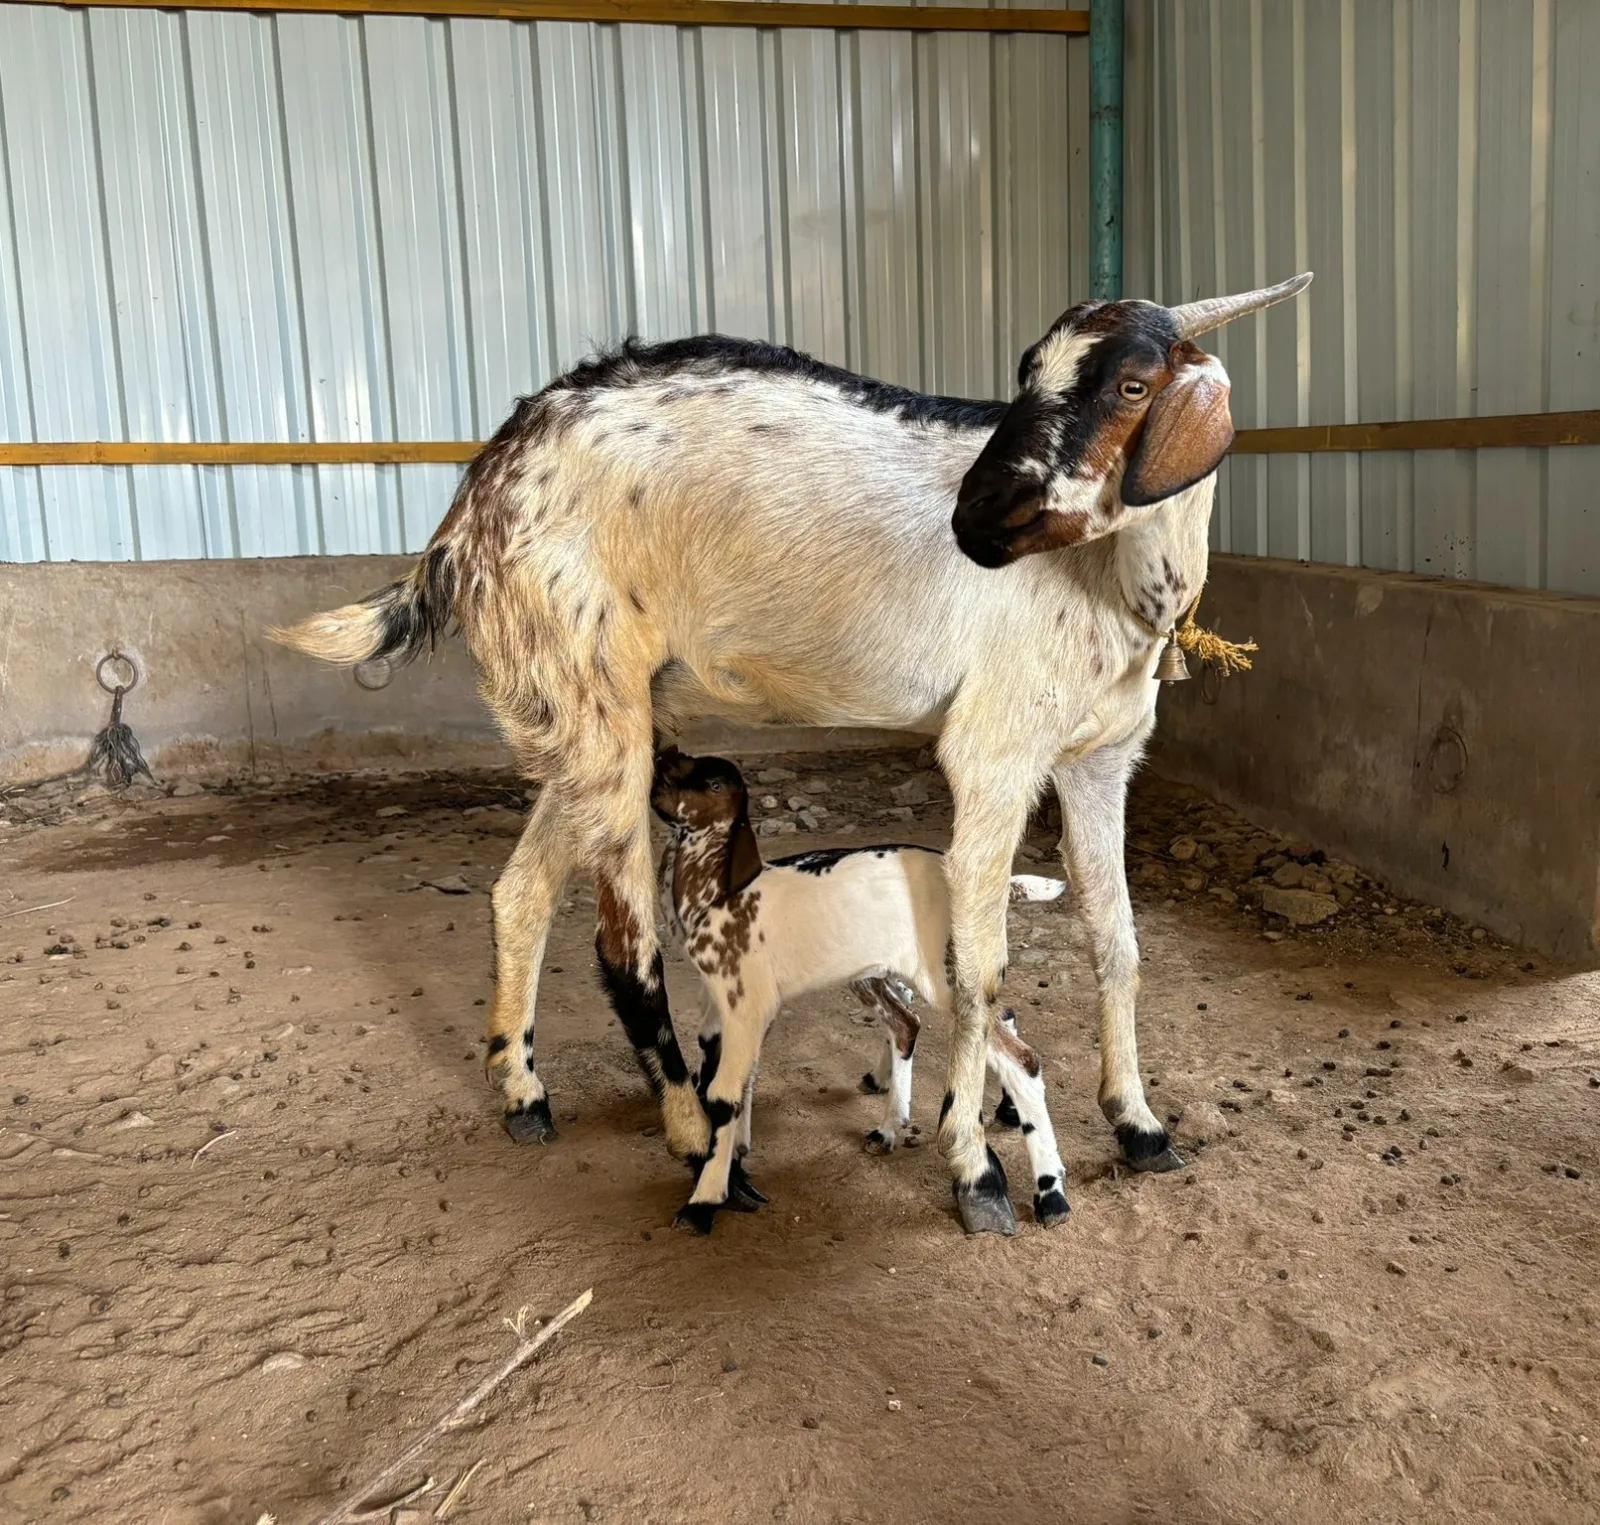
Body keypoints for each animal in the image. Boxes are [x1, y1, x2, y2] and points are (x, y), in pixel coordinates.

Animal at [650, 748, 1066, 1231]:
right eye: (682, 762)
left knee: (1020, 1056)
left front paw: (703, 1202)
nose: (659, 763)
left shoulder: (748, 1004)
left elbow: (722, 1094)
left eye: (715, 785)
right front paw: (736, 1157)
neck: (723, 896)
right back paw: (897, 1127)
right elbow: (728, 1071)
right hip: (878, 972)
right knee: (923, 1024)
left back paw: (1049, 1195)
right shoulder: (720, 1004)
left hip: (944, 978)